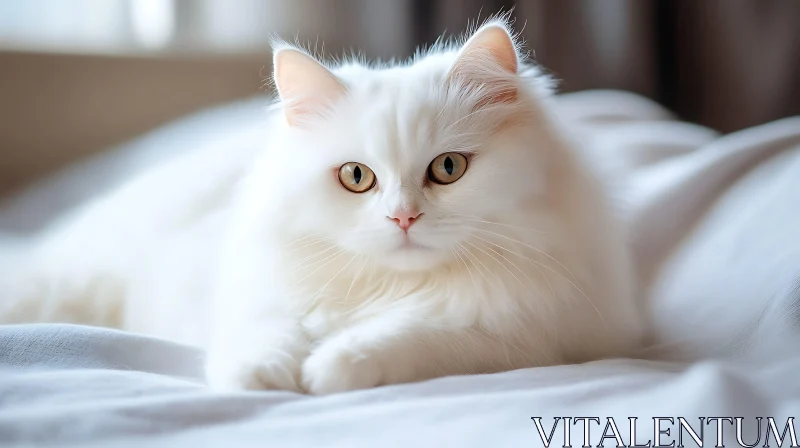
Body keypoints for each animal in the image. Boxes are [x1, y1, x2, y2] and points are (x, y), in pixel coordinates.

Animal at [0, 20, 644, 396]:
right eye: (357, 177)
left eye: (447, 169)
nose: (403, 218)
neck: (391, 285)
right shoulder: (258, 291)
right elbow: (265, 335)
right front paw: (263, 379)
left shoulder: (521, 335)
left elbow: (408, 338)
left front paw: (331, 368)